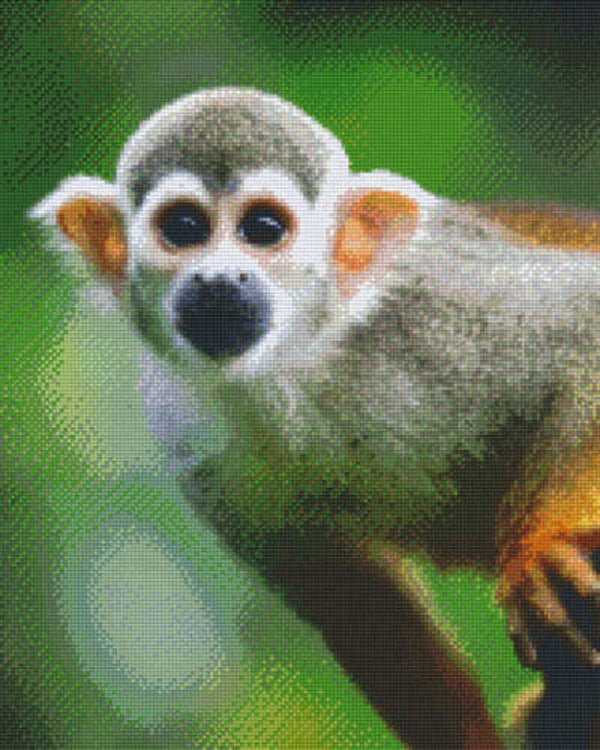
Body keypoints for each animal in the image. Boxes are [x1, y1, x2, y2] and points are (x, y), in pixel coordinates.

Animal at [30, 87, 600, 749]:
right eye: (184, 228)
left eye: (264, 229)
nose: (218, 279)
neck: (296, 370)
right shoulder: (184, 425)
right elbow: (355, 603)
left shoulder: (436, 316)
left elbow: (584, 322)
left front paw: (541, 553)